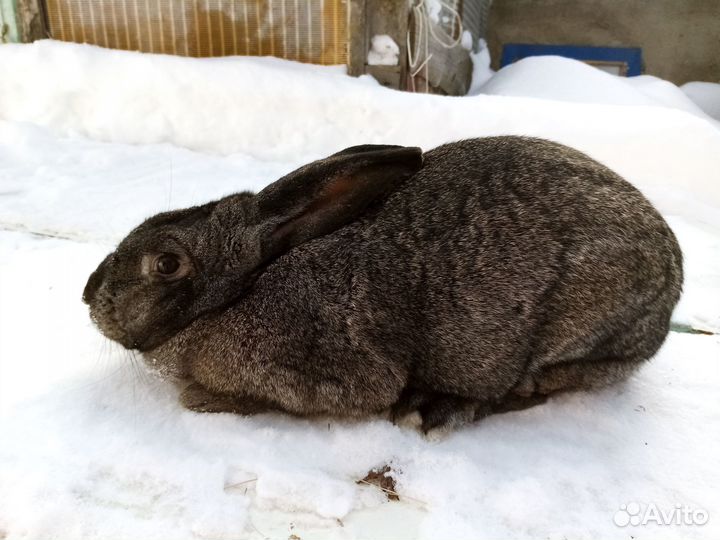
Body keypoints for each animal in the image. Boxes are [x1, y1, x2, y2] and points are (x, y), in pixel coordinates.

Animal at [83, 137, 683, 433]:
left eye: (166, 264)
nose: (89, 294)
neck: (243, 288)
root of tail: (672, 271)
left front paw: (202, 398)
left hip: (573, 330)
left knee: (532, 387)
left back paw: (436, 408)